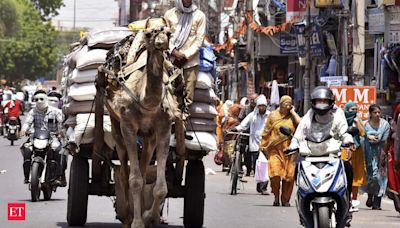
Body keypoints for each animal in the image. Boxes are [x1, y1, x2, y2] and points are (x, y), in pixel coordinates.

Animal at [95, 18, 178, 228]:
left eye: (169, 33)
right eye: (149, 33)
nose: (161, 42)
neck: (147, 102)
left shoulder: (164, 129)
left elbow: (161, 187)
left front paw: (149, 217)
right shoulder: (128, 127)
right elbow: (134, 180)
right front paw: (137, 222)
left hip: (149, 139)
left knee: (142, 167)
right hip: (116, 125)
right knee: (125, 173)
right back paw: (127, 216)